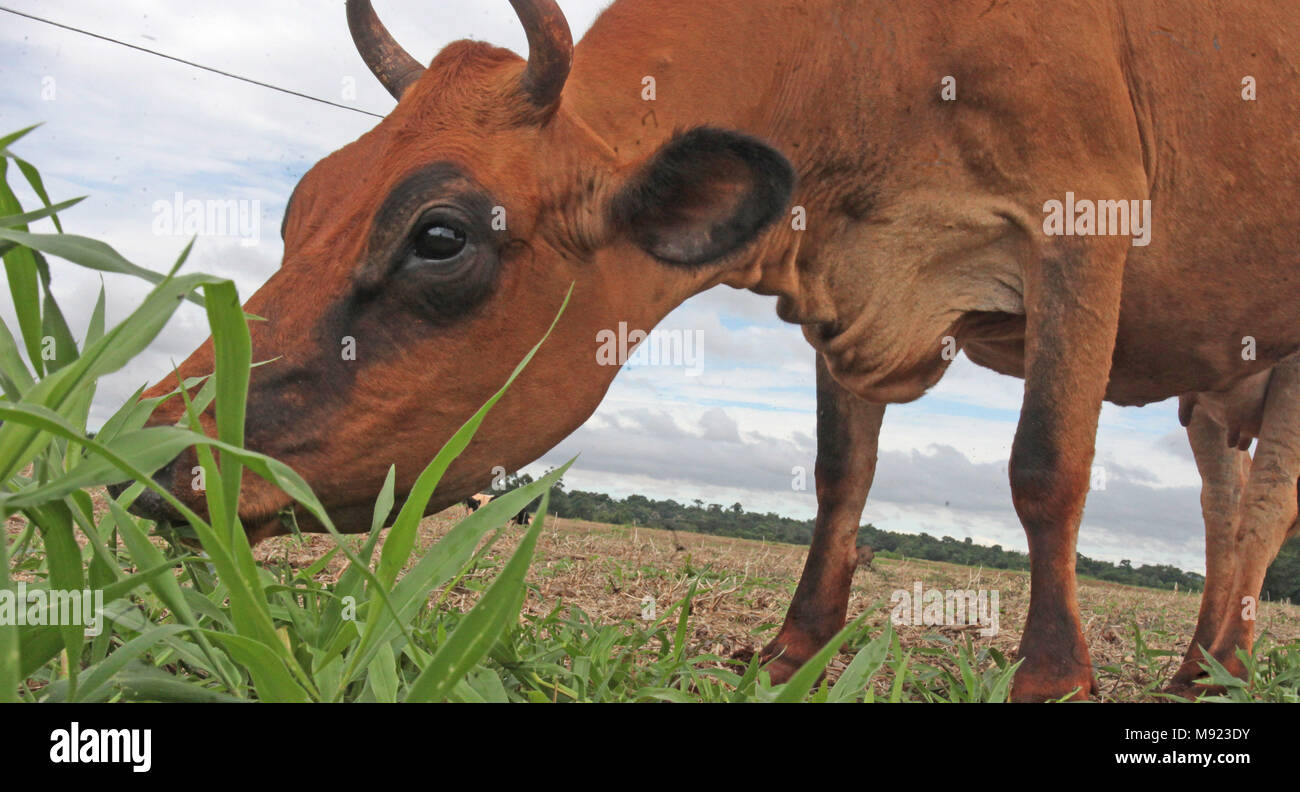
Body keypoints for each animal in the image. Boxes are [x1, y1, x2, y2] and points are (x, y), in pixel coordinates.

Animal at [124, 3, 1300, 702]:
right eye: (302, 207)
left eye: (441, 236)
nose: (149, 459)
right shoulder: (842, 283)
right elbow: (839, 474)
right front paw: (794, 649)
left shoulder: (1081, 226)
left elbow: (1046, 469)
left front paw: (1052, 678)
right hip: (1213, 393)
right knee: (1223, 504)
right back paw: (1205, 663)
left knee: (1262, 509)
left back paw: (1222, 669)